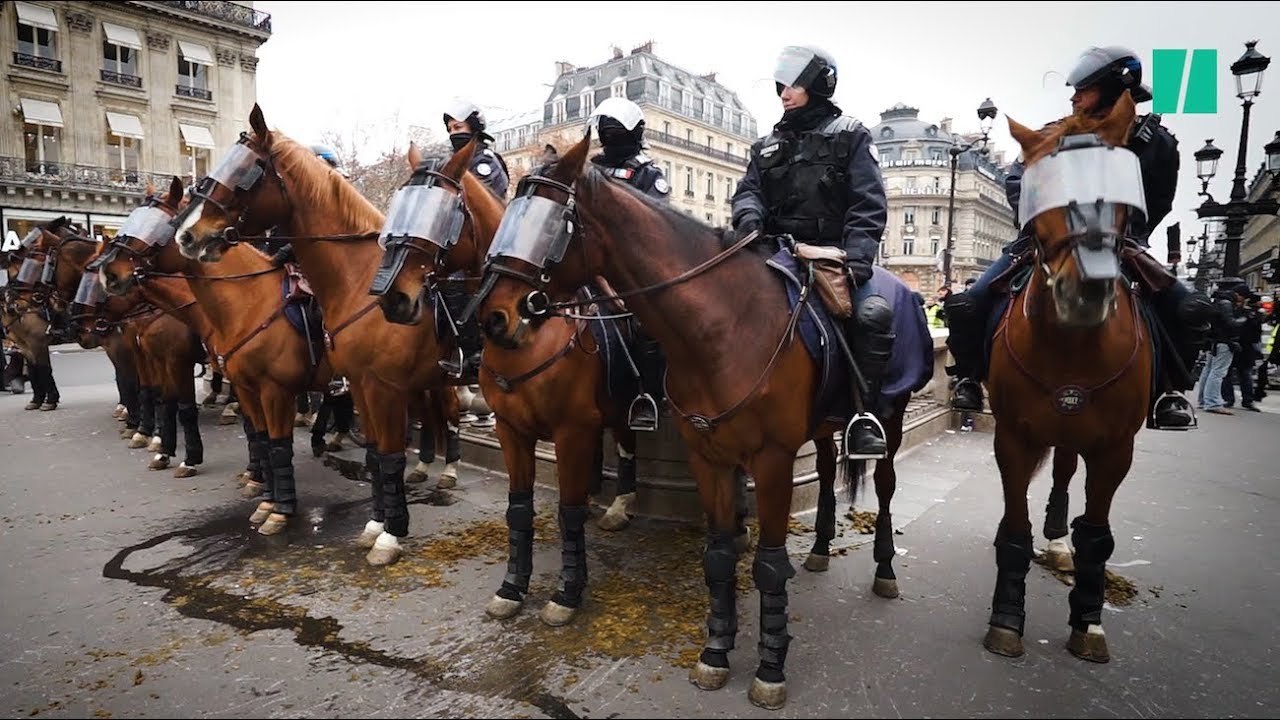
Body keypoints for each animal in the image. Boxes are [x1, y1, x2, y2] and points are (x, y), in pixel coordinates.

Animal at [175, 105, 460, 566]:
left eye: (245, 171)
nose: (187, 236)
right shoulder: (354, 384)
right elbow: (370, 454)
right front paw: (373, 524)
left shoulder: (365, 388)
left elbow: (376, 454)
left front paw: (387, 535)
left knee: (448, 417)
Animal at [476, 130, 936, 707]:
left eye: (551, 224)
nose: (493, 317)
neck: (726, 327)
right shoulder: (707, 455)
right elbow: (716, 556)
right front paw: (716, 651)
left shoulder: (770, 460)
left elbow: (768, 565)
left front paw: (770, 668)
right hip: (823, 427)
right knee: (830, 469)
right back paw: (821, 548)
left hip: (890, 418)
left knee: (887, 485)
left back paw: (884, 569)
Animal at [977, 92, 1162, 666]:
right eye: (1044, 187)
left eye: (1121, 182)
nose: (1086, 290)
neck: (1072, 347)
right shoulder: (1012, 436)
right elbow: (1014, 528)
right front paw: (1006, 619)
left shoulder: (1116, 447)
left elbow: (1097, 537)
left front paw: (1089, 620)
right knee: (1059, 470)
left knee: (1064, 475)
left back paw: (1061, 546)